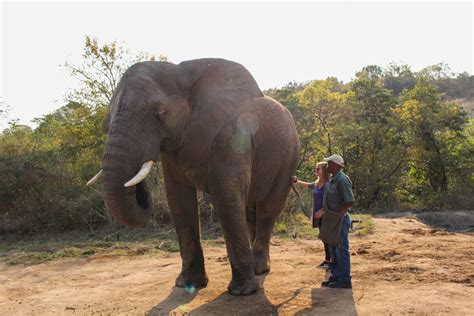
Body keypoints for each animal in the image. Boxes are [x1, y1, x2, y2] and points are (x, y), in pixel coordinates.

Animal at [86, 58, 300, 296]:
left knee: (268, 208)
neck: (182, 72)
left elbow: (226, 196)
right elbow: (178, 201)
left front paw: (242, 292)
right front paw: (188, 284)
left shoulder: (234, 137)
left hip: (290, 156)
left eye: (160, 112)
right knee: (249, 209)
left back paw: (259, 268)